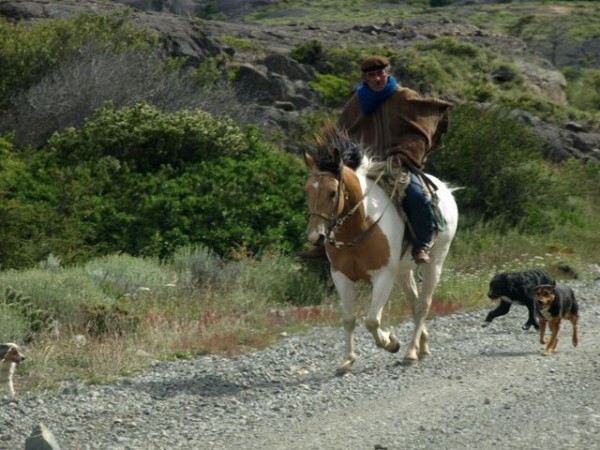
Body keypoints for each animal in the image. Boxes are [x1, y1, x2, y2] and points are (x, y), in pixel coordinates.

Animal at [304, 125, 460, 372]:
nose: (314, 235)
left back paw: (410, 353)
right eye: (307, 191)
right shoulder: (341, 276)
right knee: (414, 301)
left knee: (422, 305)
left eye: (332, 192)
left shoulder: (383, 276)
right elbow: (349, 319)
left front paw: (391, 342)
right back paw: (422, 346)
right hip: (403, 270)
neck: (358, 228)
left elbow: (371, 321)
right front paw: (347, 360)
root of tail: (446, 190)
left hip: (435, 262)